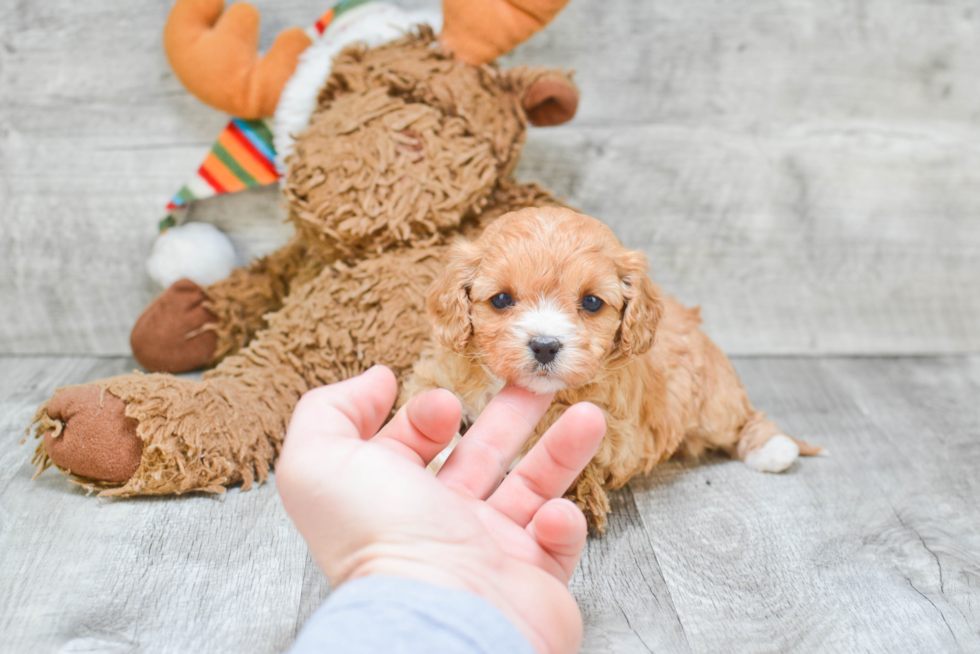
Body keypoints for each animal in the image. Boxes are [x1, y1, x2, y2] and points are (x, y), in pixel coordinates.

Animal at [398, 208, 820, 532]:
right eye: (501, 299)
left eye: (591, 302)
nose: (545, 345)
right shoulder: (437, 370)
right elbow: (427, 399)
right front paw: (440, 455)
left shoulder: (618, 428)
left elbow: (557, 421)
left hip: (715, 401)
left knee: (742, 420)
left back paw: (773, 448)